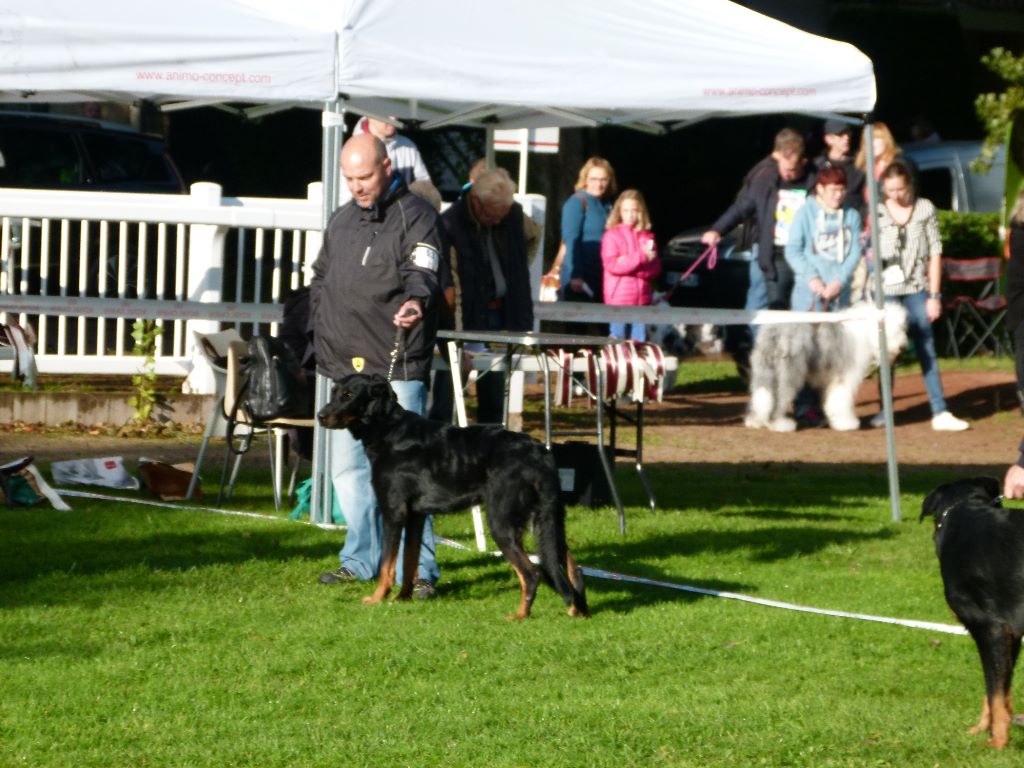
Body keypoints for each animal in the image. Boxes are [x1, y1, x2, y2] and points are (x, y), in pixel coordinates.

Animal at [319, 376, 593, 622]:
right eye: (333, 392)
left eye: (348, 396)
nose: (321, 416)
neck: (388, 431)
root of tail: (539, 453)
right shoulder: (416, 516)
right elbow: (409, 562)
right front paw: (403, 598)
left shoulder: (393, 512)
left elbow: (388, 564)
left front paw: (377, 599)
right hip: (547, 519)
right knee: (571, 568)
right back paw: (577, 610)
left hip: (502, 522)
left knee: (532, 573)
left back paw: (520, 615)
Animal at [749, 303, 909, 434]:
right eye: (896, 329)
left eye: (902, 328)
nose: (902, 347)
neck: (866, 331)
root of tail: (774, 332)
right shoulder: (844, 377)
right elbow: (840, 399)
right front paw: (846, 423)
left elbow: (831, 400)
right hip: (789, 372)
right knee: (781, 398)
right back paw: (781, 424)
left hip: (764, 371)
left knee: (762, 395)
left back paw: (755, 421)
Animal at [921, 479, 1024, 749]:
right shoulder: (1010, 635)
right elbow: (996, 689)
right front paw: (982, 728)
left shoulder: (990, 628)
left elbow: (996, 693)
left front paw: (997, 741)